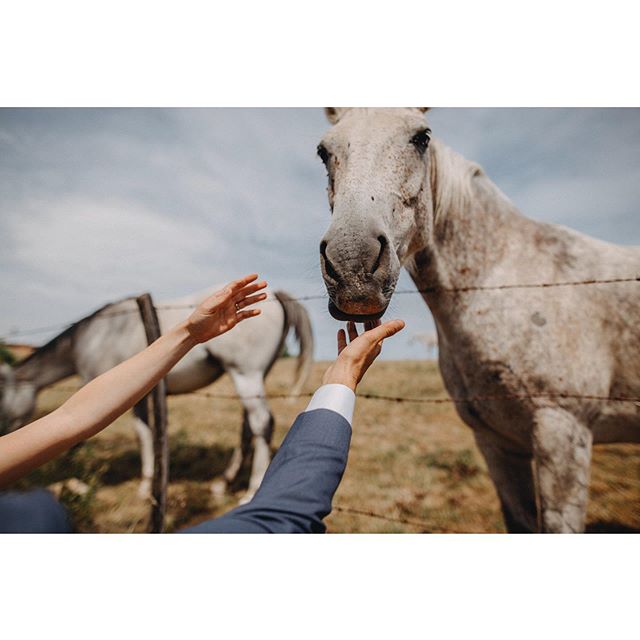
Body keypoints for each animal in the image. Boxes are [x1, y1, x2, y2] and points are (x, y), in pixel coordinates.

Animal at [0, 288, 314, 502]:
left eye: (2, 398)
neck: (94, 335)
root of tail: (275, 296)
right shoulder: (138, 397)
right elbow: (146, 434)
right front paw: (148, 483)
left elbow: (118, 434)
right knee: (249, 429)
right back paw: (223, 483)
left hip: (246, 376)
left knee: (262, 424)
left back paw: (252, 490)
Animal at [316, 107, 640, 532]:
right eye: (324, 151)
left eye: (421, 138)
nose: (352, 267)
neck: (505, 281)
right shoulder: (496, 443)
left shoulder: (564, 433)